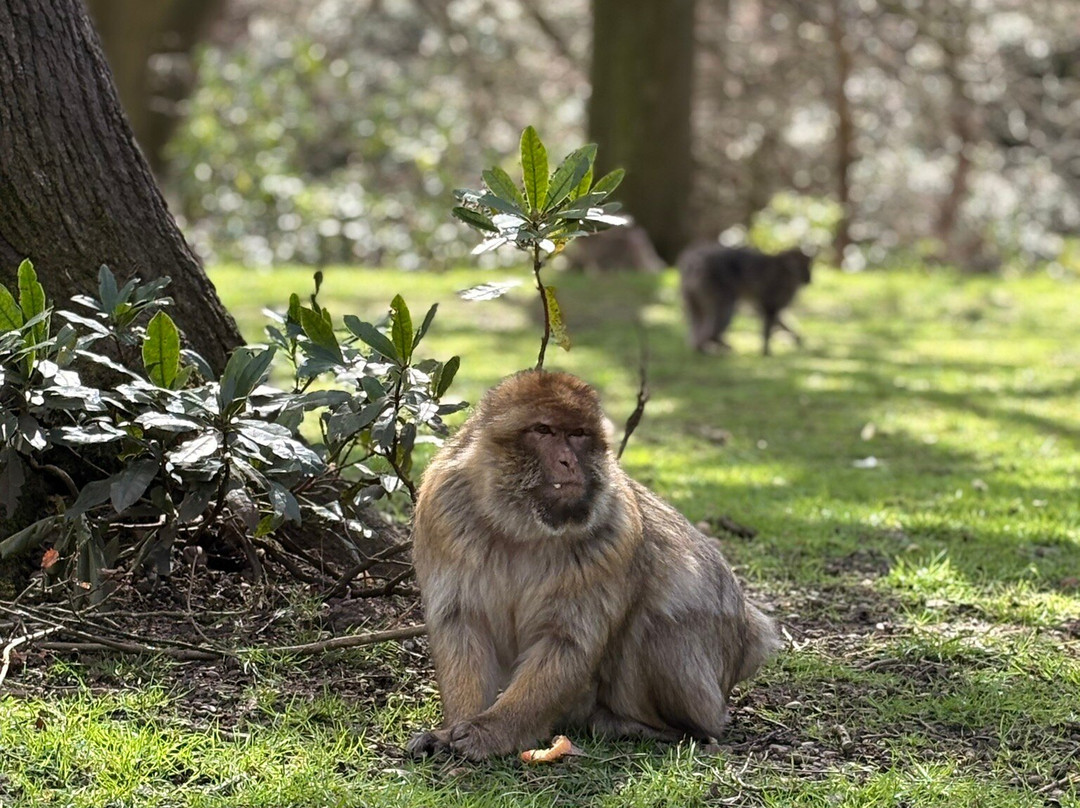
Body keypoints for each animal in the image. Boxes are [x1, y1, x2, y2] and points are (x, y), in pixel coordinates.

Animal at [406, 370, 781, 761]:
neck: (519, 525)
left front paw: (494, 730)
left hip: (705, 696)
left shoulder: (615, 532)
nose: (569, 462)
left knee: (658, 619)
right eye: (543, 430)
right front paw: (450, 729)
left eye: (578, 434)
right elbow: (461, 624)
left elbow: (570, 641)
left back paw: (643, 726)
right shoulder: (443, 513)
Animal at [677, 243, 812, 356]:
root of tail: (694, 262)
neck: (787, 269)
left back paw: (699, 347)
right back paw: (713, 342)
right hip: (715, 289)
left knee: (698, 317)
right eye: (804, 267)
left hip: (692, 294)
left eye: (809, 266)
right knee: (722, 315)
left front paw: (797, 338)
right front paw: (766, 351)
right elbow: (769, 317)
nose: (809, 279)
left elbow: (772, 316)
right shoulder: (773, 298)